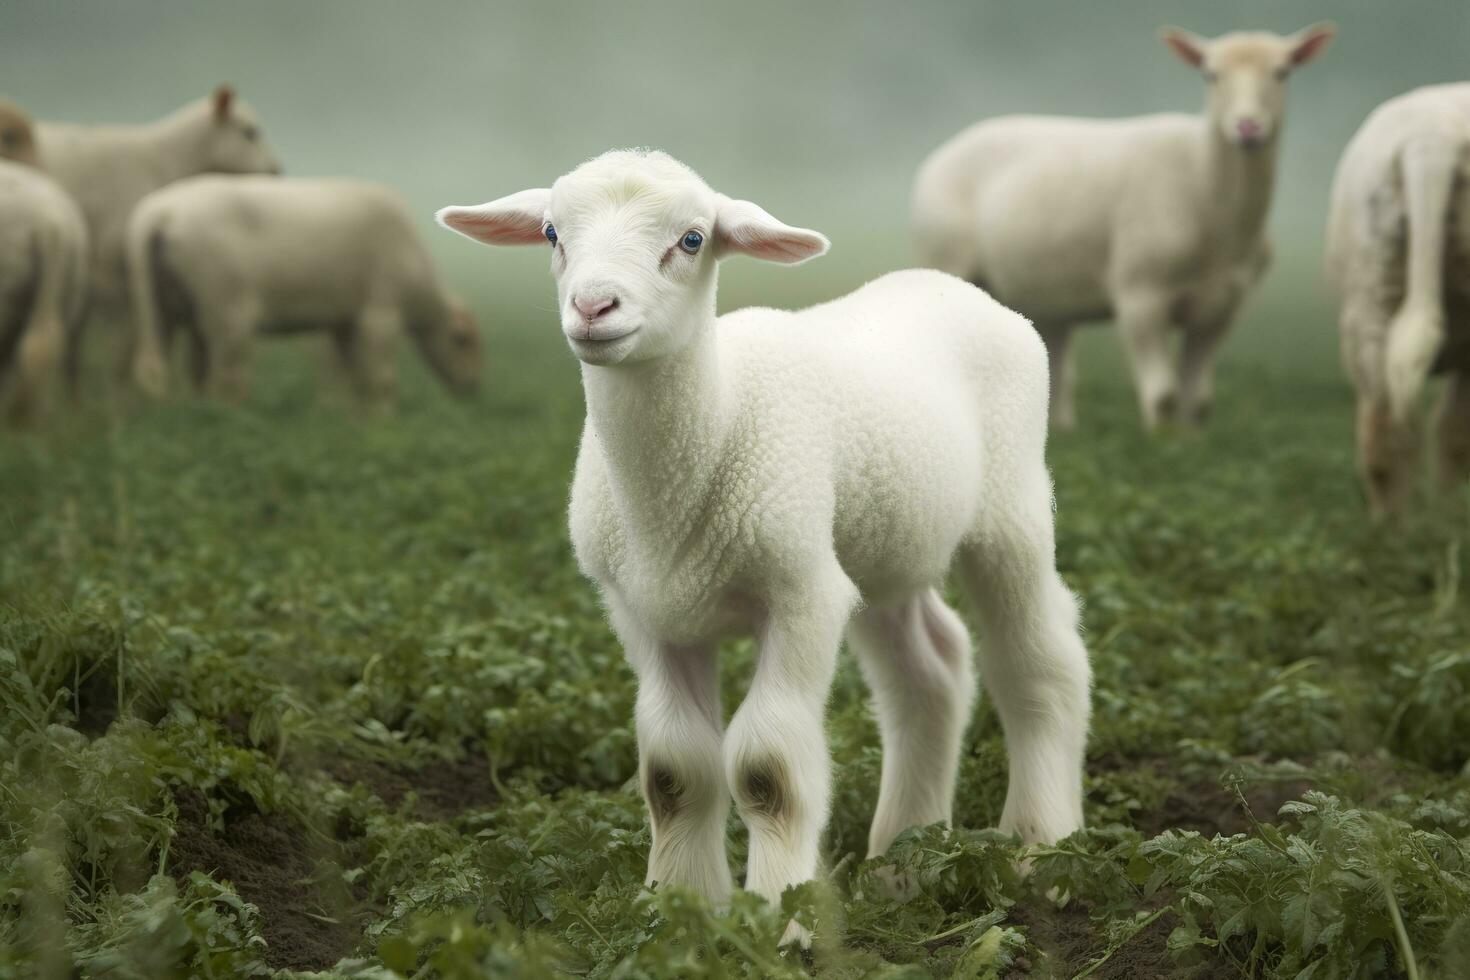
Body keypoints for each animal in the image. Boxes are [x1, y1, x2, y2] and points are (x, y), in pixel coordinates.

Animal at [435, 149, 1093, 940]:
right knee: (929, 671)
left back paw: (1042, 850)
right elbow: (674, 769)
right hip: (879, 546)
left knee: (1039, 662)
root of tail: (947, 284)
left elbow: (767, 768)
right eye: (551, 232)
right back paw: (901, 864)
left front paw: (782, 919)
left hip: (1009, 507)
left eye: (691, 239)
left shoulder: (802, 593)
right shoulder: (644, 611)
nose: (594, 309)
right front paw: (679, 913)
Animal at [905, 22, 1334, 429]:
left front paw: (1191, 445)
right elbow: (1164, 397)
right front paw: (1163, 445)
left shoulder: (1225, 306)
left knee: (1055, 365)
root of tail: (945, 151)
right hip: (945, 255)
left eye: (1282, 72)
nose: (1247, 127)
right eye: (1210, 75)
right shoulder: (1140, 294)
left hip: (1045, 296)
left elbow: (1197, 402)